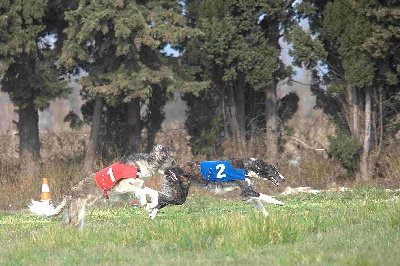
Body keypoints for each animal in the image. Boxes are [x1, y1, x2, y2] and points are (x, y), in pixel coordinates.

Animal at [148, 158, 286, 218]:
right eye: (274, 170)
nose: (283, 179)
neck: (247, 166)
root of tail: (170, 167)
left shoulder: (247, 192)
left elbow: (259, 203)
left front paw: (267, 216)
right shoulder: (246, 191)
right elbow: (264, 196)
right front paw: (279, 202)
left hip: (179, 195)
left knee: (161, 200)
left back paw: (152, 215)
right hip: (179, 196)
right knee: (159, 199)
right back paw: (150, 210)